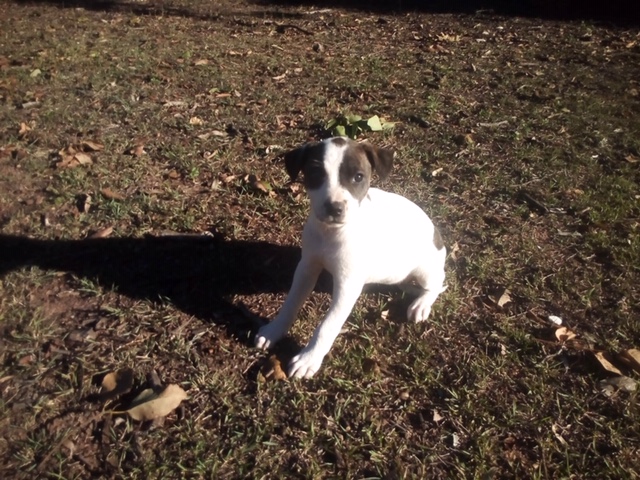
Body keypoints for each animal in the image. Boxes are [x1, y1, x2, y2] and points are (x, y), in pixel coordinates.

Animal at [255, 137, 446, 379]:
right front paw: (274, 330)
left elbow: (327, 326)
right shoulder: (307, 267)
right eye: (315, 173)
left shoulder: (347, 287)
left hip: (426, 269)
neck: (332, 233)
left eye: (358, 177)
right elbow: (290, 303)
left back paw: (421, 304)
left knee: (437, 285)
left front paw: (309, 358)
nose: (334, 208)